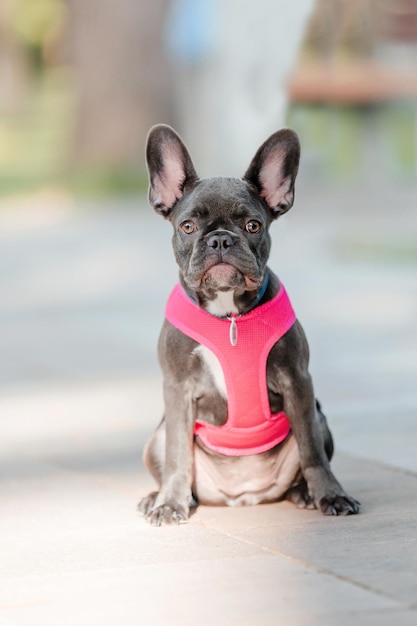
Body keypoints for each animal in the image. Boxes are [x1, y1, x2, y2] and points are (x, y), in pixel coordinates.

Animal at [138, 124, 360, 524]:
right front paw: (169, 503)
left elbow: (313, 452)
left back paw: (304, 493)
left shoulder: (297, 381)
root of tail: (243, 496)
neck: (230, 317)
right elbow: (178, 453)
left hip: (319, 415)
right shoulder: (177, 388)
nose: (220, 239)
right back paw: (158, 497)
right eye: (188, 226)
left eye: (253, 225)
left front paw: (331, 495)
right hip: (155, 438)